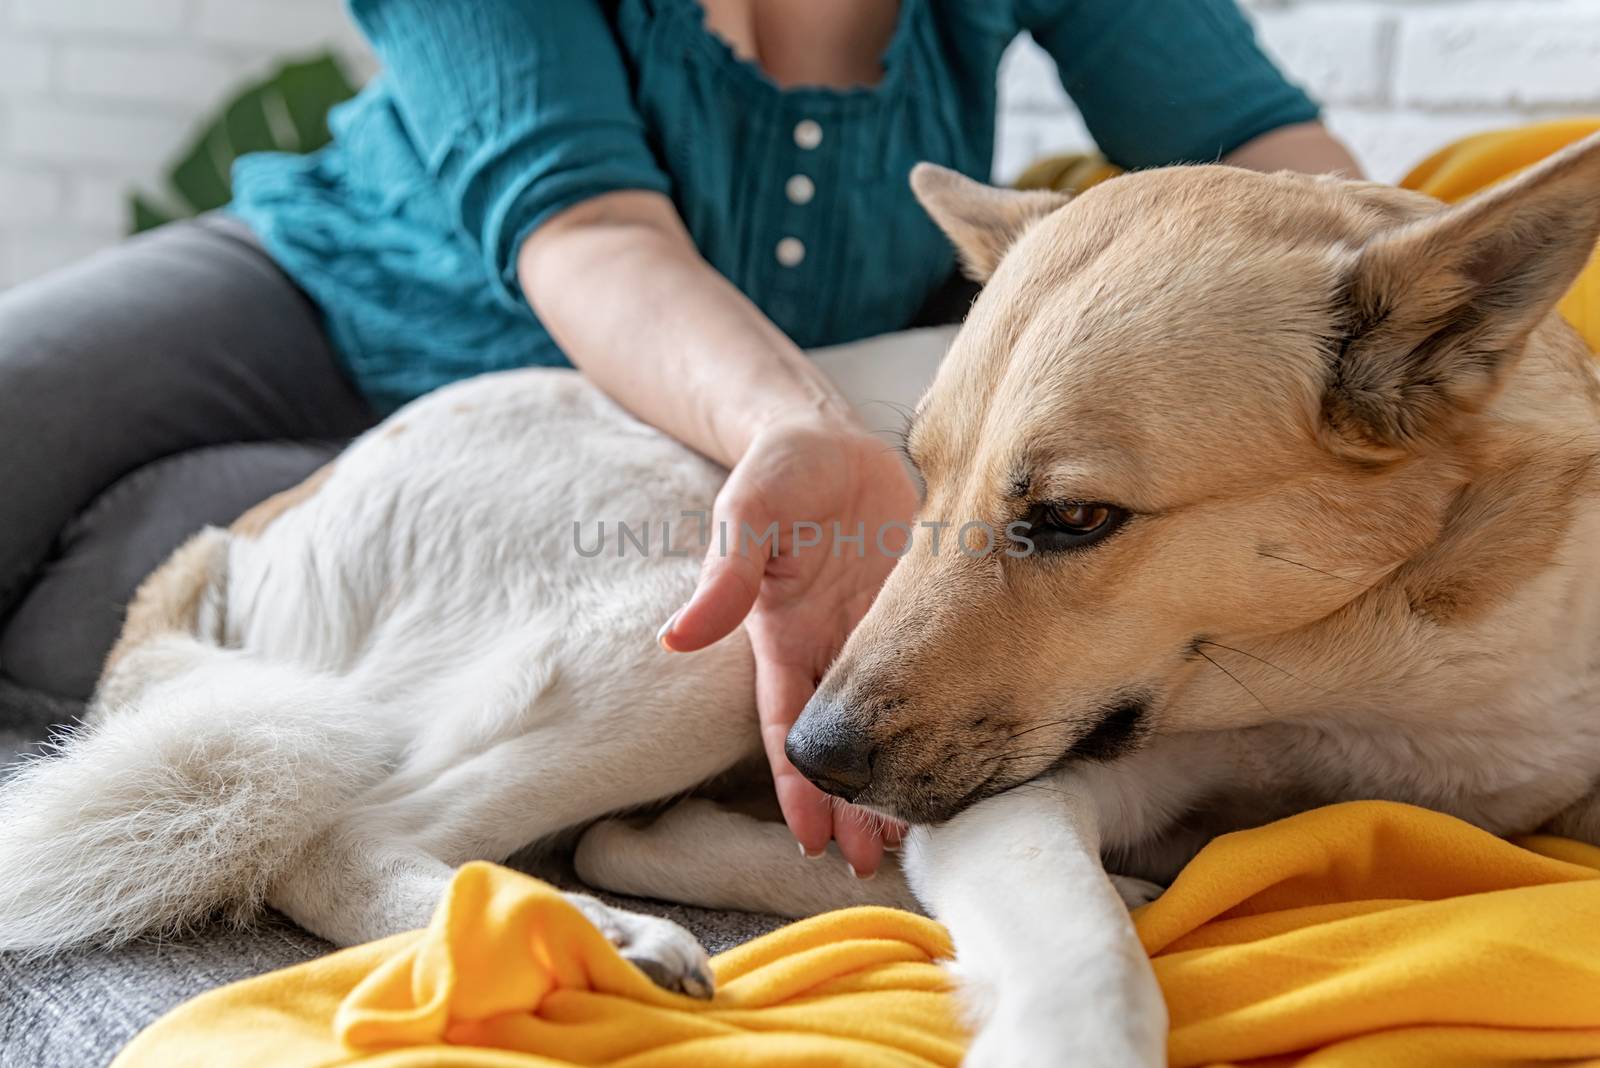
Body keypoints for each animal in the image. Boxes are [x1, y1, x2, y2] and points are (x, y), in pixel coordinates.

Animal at [3, 133, 1600, 1068]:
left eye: (1073, 519)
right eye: (921, 473)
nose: (817, 758)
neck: (1364, 667)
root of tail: (254, 524)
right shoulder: (1023, 786)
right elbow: (1086, 968)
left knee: (625, 830)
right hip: (711, 614)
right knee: (350, 839)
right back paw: (604, 938)